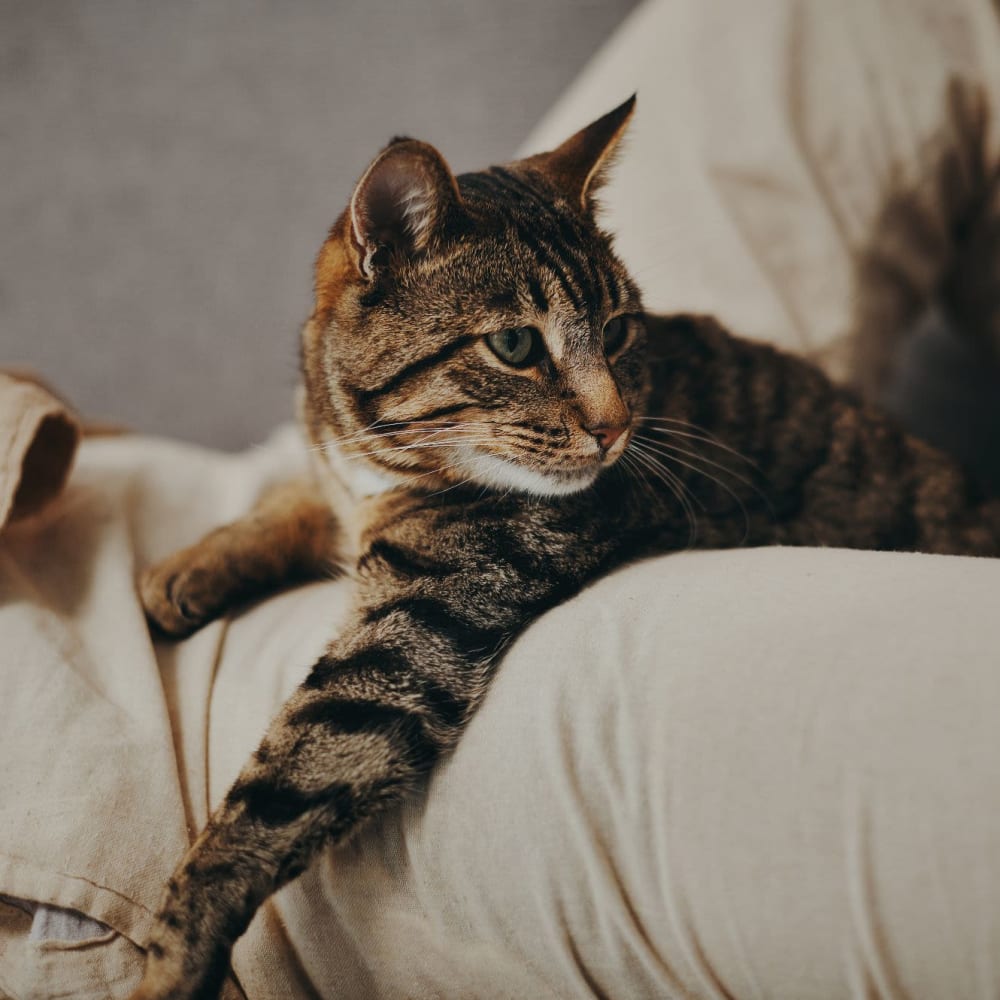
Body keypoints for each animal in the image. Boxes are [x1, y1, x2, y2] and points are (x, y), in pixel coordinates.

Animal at [131, 95, 1000, 1000]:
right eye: (516, 345)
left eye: (617, 332)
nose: (615, 426)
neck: (386, 459)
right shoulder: (343, 487)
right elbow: (297, 498)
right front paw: (189, 566)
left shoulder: (416, 632)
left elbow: (276, 791)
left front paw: (172, 958)